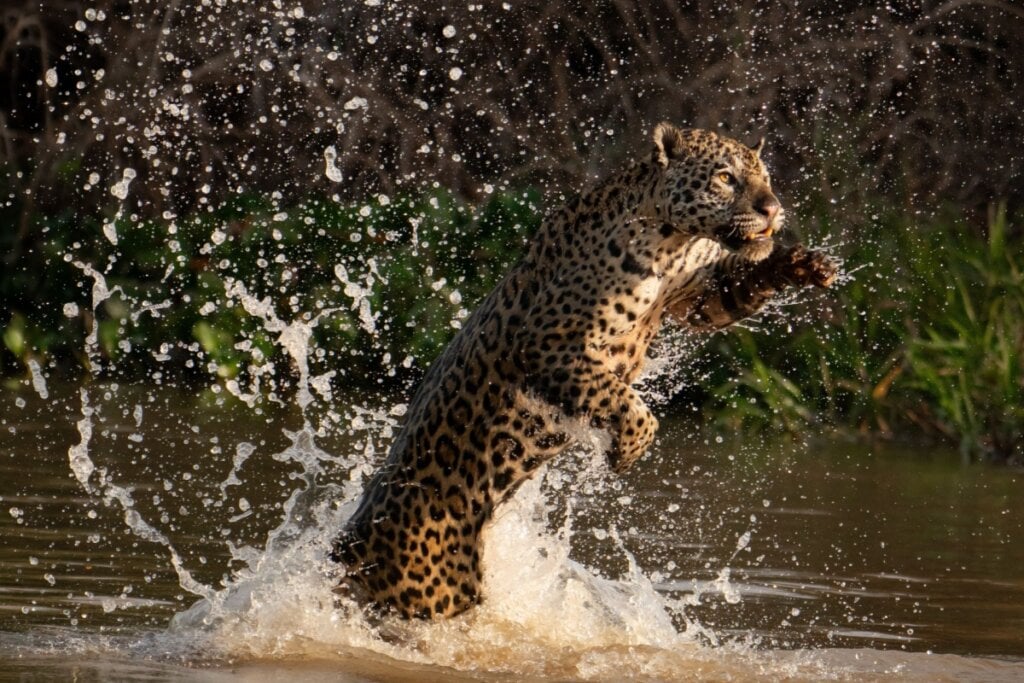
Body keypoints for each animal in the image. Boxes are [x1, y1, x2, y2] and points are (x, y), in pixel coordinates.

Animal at [330, 122, 837, 619]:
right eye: (726, 177)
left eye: (765, 177)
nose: (772, 209)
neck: (673, 242)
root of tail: (353, 542)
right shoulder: (551, 344)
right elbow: (625, 402)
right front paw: (627, 452)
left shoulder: (698, 296)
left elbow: (741, 281)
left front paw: (806, 263)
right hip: (433, 596)